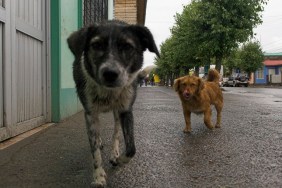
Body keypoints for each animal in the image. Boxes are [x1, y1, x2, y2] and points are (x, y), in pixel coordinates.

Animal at [66, 19, 159, 187]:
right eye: (96, 45)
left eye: (127, 47)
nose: (110, 74)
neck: (108, 93)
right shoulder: (90, 113)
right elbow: (94, 150)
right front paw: (98, 177)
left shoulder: (126, 110)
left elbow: (131, 148)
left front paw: (119, 159)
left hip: (117, 113)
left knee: (116, 132)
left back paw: (114, 153)